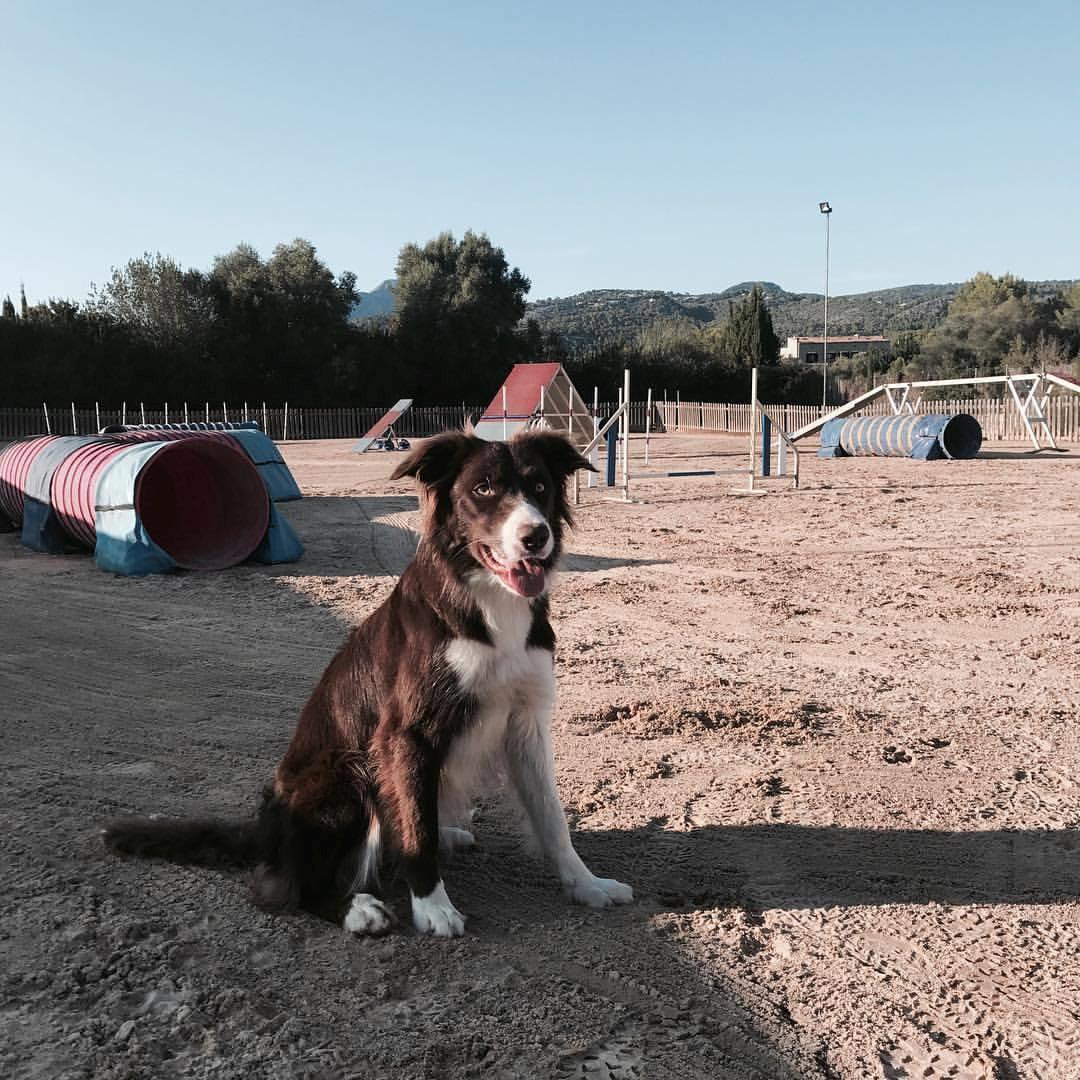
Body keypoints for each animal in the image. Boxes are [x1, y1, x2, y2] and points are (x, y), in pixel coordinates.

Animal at [105, 429, 630, 937]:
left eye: (539, 487)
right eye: (483, 489)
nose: (536, 535)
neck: (487, 602)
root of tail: (266, 831)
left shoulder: (526, 721)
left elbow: (552, 818)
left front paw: (586, 884)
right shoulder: (405, 733)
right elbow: (416, 830)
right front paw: (433, 908)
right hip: (348, 771)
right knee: (282, 885)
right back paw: (356, 910)